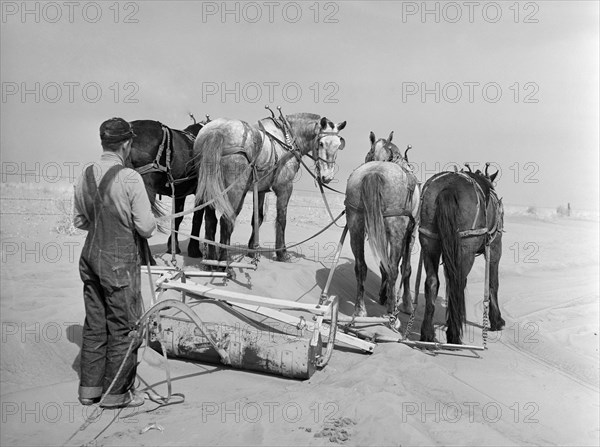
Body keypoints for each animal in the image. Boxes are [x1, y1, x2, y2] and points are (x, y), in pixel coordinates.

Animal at [126, 114, 211, 266]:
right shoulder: (201, 191)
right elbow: (197, 218)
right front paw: (194, 250)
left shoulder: (179, 193)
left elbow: (178, 218)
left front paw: (173, 246)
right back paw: (148, 259)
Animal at [195, 112, 346, 264]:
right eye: (321, 143)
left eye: (338, 145)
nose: (327, 177)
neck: (287, 139)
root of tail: (218, 131)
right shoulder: (285, 187)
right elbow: (281, 219)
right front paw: (282, 253)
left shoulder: (260, 190)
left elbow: (258, 218)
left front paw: (252, 250)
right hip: (235, 190)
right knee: (226, 221)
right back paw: (223, 263)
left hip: (209, 187)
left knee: (210, 220)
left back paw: (211, 260)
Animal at [344, 132, 420, 318]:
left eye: (367, 153)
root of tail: (373, 172)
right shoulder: (410, 233)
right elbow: (405, 268)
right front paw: (407, 304)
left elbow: (382, 264)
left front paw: (383, 295)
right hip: (397, 231)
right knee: (393, 268)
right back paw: (391, 310)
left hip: (355, 225)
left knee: (360, 266)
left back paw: (360, 309)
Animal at [418, 165, 506, 346]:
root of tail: (448, 188)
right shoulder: (495, 247)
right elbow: (493, 283)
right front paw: (497, 320)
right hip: (466, 248)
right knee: (457, 282)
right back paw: (454, 335)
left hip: (429, 240)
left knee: (432, 282)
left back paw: (428, 333)